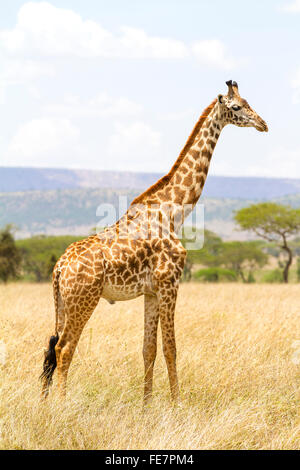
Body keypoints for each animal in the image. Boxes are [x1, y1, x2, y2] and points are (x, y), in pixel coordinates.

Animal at [41, 81, 268, 404]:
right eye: (237, 107)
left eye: (249, 102)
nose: (263, 124)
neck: (173, 211)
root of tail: (59, 267)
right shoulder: (170, 282)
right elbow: (170, 348)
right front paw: (176, 403)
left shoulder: (150, 291)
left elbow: (148, 349)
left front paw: (146, 404)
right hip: (83, 301)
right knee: (64, 349)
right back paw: (62, 405)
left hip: (62, 302)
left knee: (50, 347)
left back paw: (44, 404)